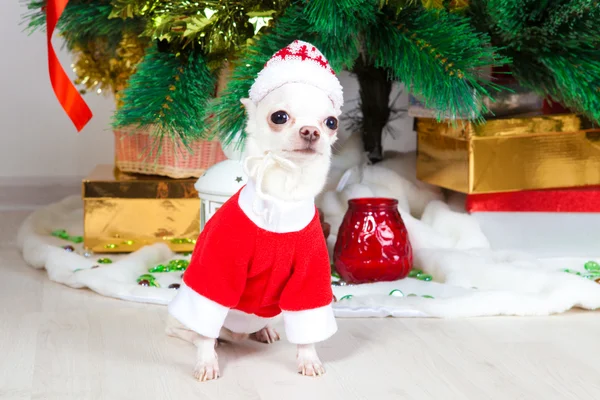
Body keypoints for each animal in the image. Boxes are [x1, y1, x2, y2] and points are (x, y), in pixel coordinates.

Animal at [166, 39, 342, 382]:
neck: (283, 195)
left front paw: (308, 359)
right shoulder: (215, 274)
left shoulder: (309, 279)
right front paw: (206, 362)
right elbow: (205, 325)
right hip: (186, 312)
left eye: (331, 122)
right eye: (280, 116)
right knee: (194, 330)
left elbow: (308, 326)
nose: (311, 131)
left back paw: (263, 332)